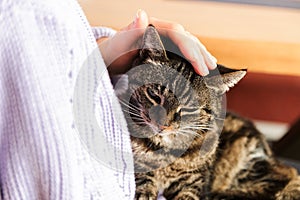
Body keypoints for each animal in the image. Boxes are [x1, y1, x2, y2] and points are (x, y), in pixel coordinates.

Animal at [112, 25, 300, 200]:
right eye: (154, 94)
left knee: (284, 176)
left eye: (189, 108)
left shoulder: (193, 182)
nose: (162, 125)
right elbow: (142, 181)